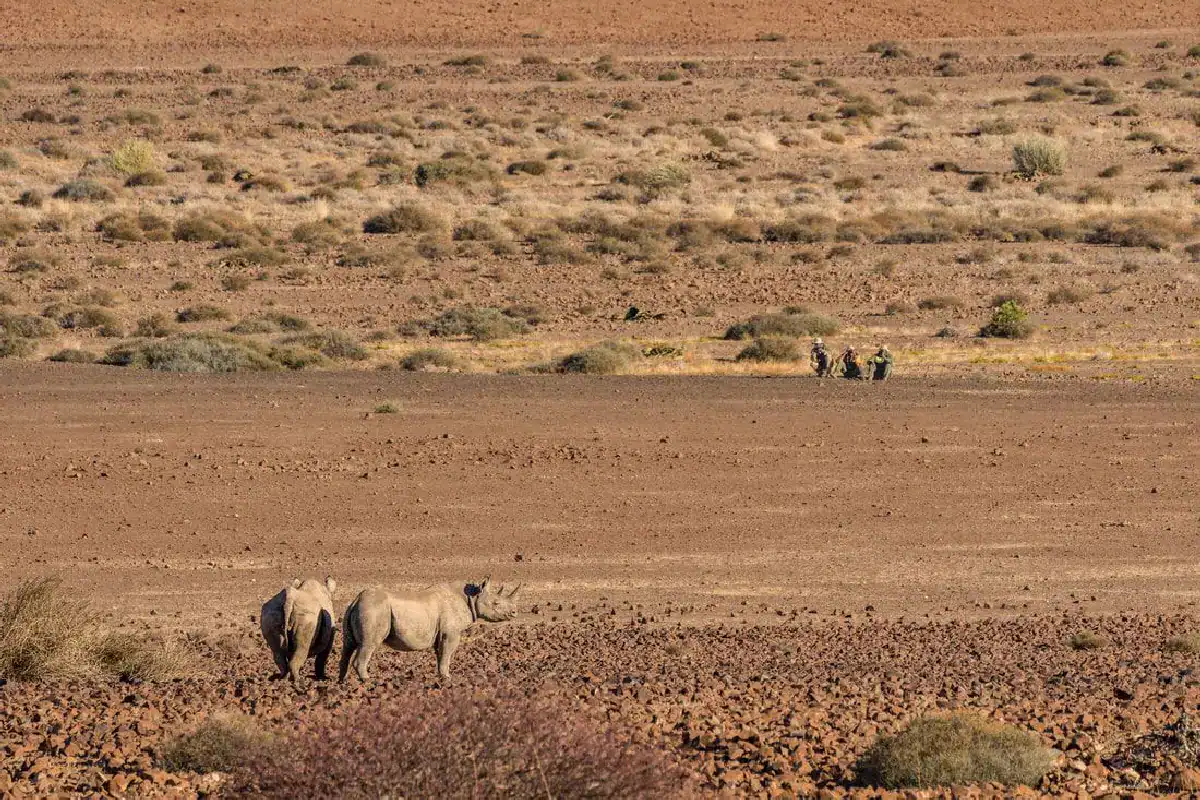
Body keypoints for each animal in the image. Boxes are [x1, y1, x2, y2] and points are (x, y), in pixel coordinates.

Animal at [339, 578, 521, 683]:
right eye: (496, 603)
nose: (514, 613)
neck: (472, 596)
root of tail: (356, 600)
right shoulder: (451, 633)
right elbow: (447, 654)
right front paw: (447, 678)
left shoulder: (441, 633)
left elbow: (441, 655)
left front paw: (441, 677)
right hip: (374, 609)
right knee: (368, 644)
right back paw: (368, 682)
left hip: (358, 609)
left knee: (348, 646)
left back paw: (342, 683)